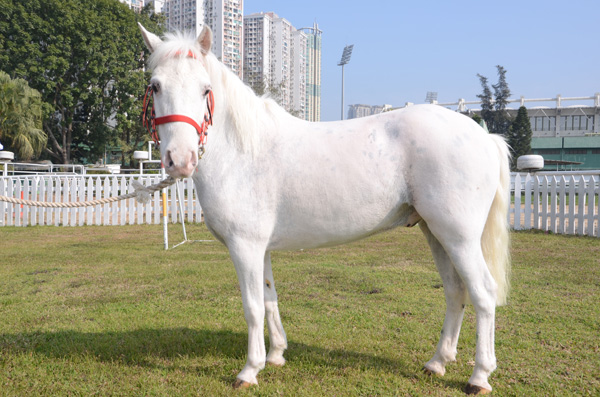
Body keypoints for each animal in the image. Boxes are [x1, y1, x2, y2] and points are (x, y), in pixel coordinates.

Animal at [138, 24, 508, 392]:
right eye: (155, 86)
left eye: (206, 89)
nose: (180, 160)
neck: (244, 152)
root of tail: (484, 136)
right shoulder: (261, 249)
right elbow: (270, 299)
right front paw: (276, 355)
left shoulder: (245, 247)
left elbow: (253, 307)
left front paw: (249, 370)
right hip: (436, 233)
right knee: (455, 291)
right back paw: (437, 363)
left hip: (459, 238)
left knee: (483, 293)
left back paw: (480, 376)